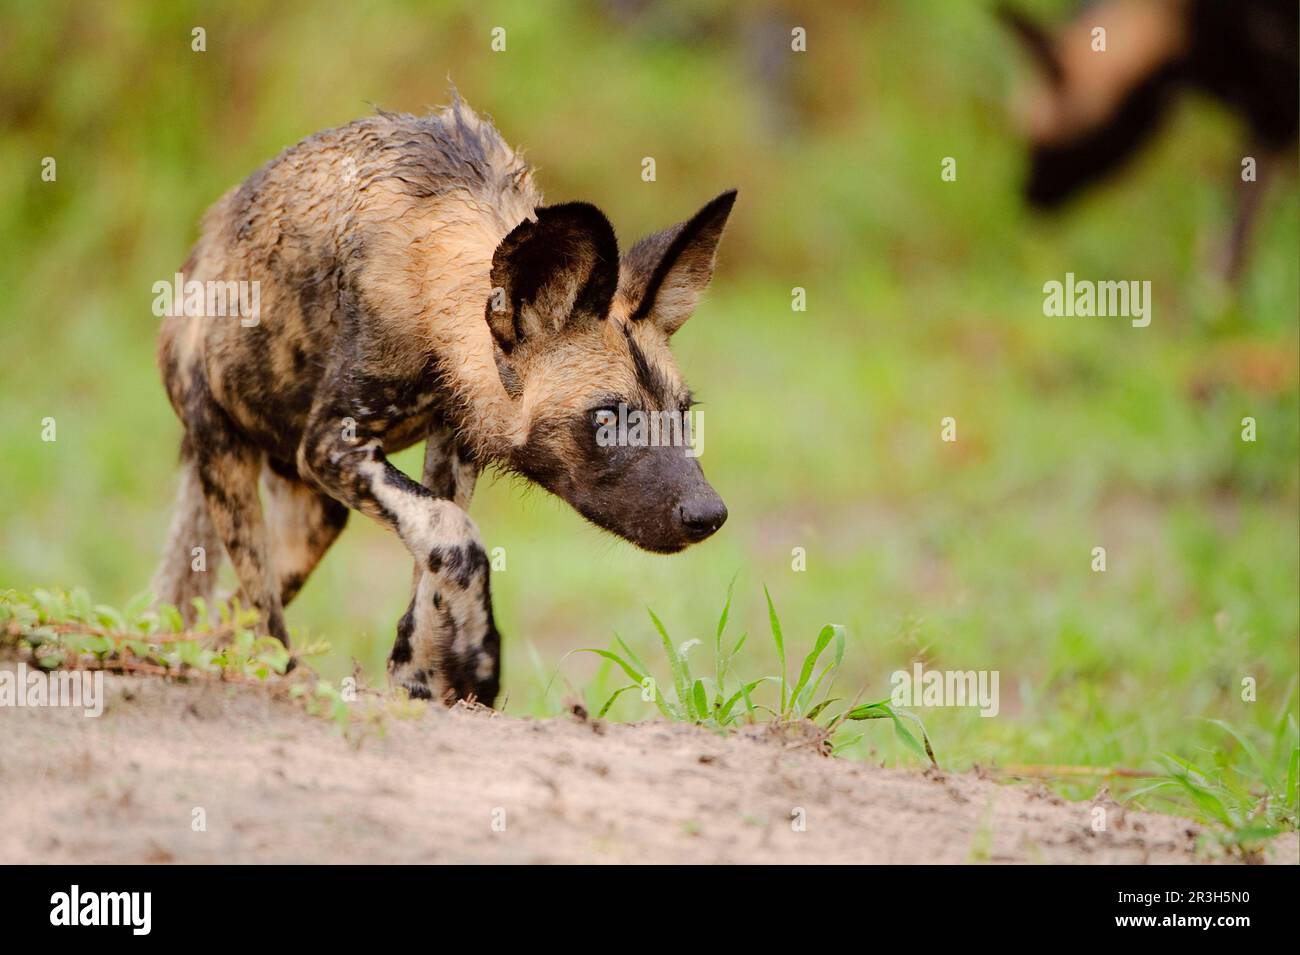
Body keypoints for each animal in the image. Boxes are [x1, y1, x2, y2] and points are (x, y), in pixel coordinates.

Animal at [152, 97, 738, 706]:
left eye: (683, 414)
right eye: (606, 418)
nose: (708, 514)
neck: (431, 284)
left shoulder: (452, 450)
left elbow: (432, 560)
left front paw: (418, 674)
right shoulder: (331, 447)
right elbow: (456, 536)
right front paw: (476, 662)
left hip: (312, 519)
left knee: (230, 609)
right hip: (227, 456)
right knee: (261, 608)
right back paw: (290, 680)